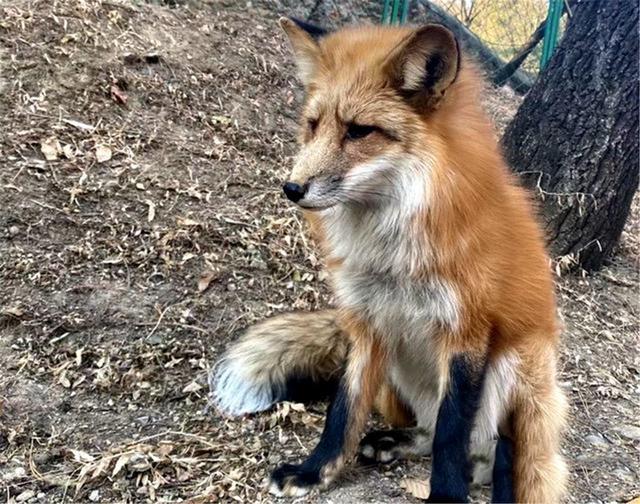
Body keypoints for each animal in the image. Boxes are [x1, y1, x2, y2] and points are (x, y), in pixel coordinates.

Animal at [210, 17, 564, 502]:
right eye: (313, 125)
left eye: (360, 131)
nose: (292, 188)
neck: (393, 255)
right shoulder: (367, 320)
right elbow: (343, 410)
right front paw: (315, 471)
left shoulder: (467, 331)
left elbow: (452, 433)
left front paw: (446, 496)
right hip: (399, 367)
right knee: (435, 433)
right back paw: (394, 442)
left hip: (514, 363)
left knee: (497, 450)